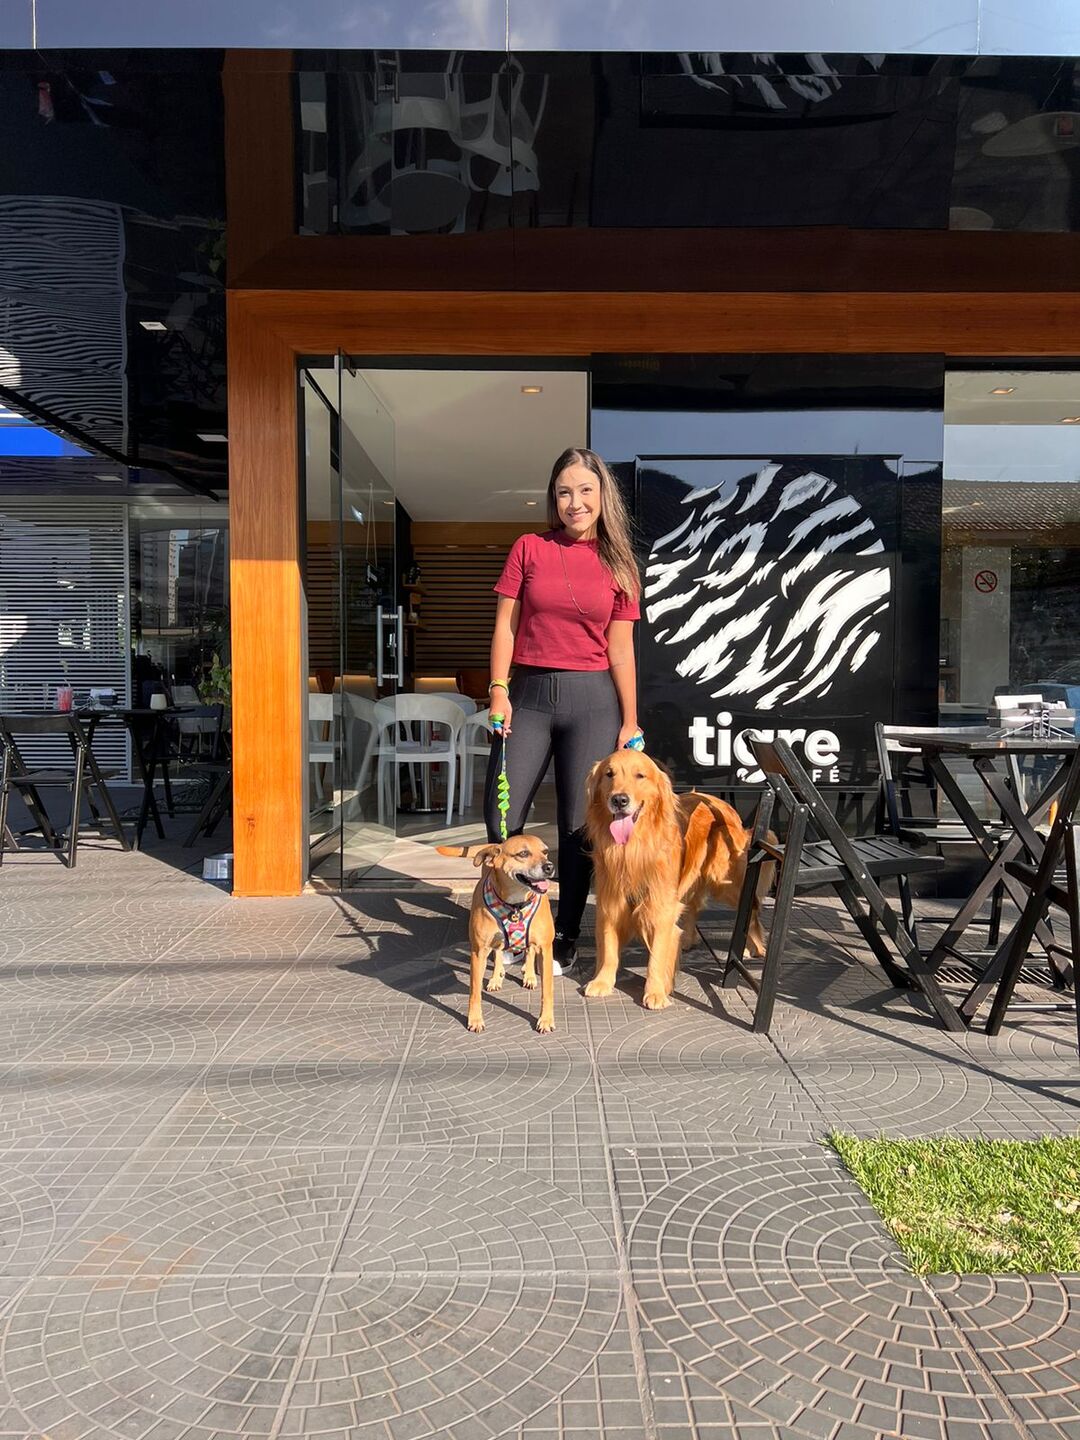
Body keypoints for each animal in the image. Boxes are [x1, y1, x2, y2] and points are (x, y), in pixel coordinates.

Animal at [440, 840, 558, 1031]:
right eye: (523, 853)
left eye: (545, 851)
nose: (550, 866)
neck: (516, 904)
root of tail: (496, 844)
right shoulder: (479, 951)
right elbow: (474, 991)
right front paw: (475, 1019)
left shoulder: (545, 949)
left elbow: (547, 991)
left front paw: (546, 1019)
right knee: (499, 953)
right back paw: (496, 978)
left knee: (529, 951)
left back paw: (530, 975)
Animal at [584, 754, 771, 1013]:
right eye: (609, 774)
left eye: (640, 775)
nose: (619, 800)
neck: (634, 849)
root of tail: (723, 804)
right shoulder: (610, 901)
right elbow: (609, 947)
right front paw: (602, 981)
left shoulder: (660, 908)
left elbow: (656, 956)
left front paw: (655, 992)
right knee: (694, 907)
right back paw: (689, 939)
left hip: (725, 883)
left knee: (752, 908)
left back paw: (755, 947)